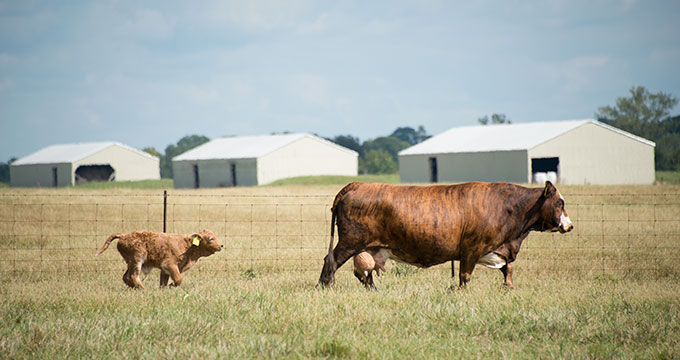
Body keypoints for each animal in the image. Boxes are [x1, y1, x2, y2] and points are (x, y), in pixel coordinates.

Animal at [95, 231, 223, 290]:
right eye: (211, 239)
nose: (221, 245)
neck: (188, 245)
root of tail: (123, 235)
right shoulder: (169, 265)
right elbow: (178, 279)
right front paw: (171, 286)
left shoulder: (165, 270)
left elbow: (163, 282)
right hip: (137, 260)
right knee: (133, 275)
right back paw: (143, 289)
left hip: (130, 263)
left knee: (126, 276)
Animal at [316, 181, 572, 288]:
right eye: (560, 202)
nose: (569, 226)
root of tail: (357, 184)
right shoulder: (471, 249)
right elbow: (464, 277)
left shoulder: (501, 249)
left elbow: (507, 273)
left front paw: (508, 289)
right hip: (349, 241)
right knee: (330, 262)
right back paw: (324, 288)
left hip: (366, 247)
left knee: (363, 273)